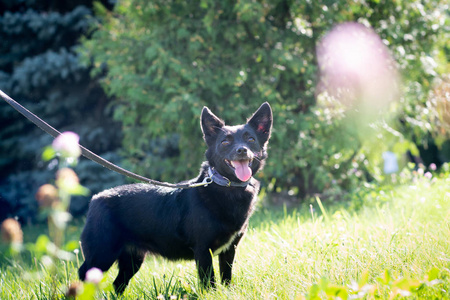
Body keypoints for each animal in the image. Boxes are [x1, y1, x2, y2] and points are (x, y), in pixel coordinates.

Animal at [78, 102, 270, 292]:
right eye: (225, 142)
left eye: (251, 139)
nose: (242, 150)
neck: (226, 186)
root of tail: (95, 198)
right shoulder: (203, 250)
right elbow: (209, 282)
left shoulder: (229, 250)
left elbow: (226, 277)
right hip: (101, 256)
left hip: (132, 260)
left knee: (117, 285)